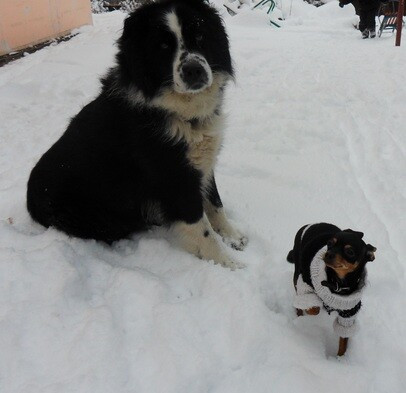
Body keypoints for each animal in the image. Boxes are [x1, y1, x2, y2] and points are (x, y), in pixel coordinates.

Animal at [27, 0, 247, 268]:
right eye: (163, 46)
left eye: (200, 35)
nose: (193, 70)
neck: (180, 112)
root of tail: (30, 200)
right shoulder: (174, 178)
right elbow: (200, 226)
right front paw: (228, 264)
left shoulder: (201, 162)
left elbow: (215, 203)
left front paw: (233, 237)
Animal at [288, 220, 376, 356]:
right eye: (329, 243)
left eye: (350, 252)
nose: (328, 254)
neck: (338, 283)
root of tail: (312, 224)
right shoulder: (305, 285)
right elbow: (314, 309)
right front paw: (315, 308)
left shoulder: (349, 313)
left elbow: (343, 340)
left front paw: (341, 358)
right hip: (298, 274)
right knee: (298, 301)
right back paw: (300, 316)